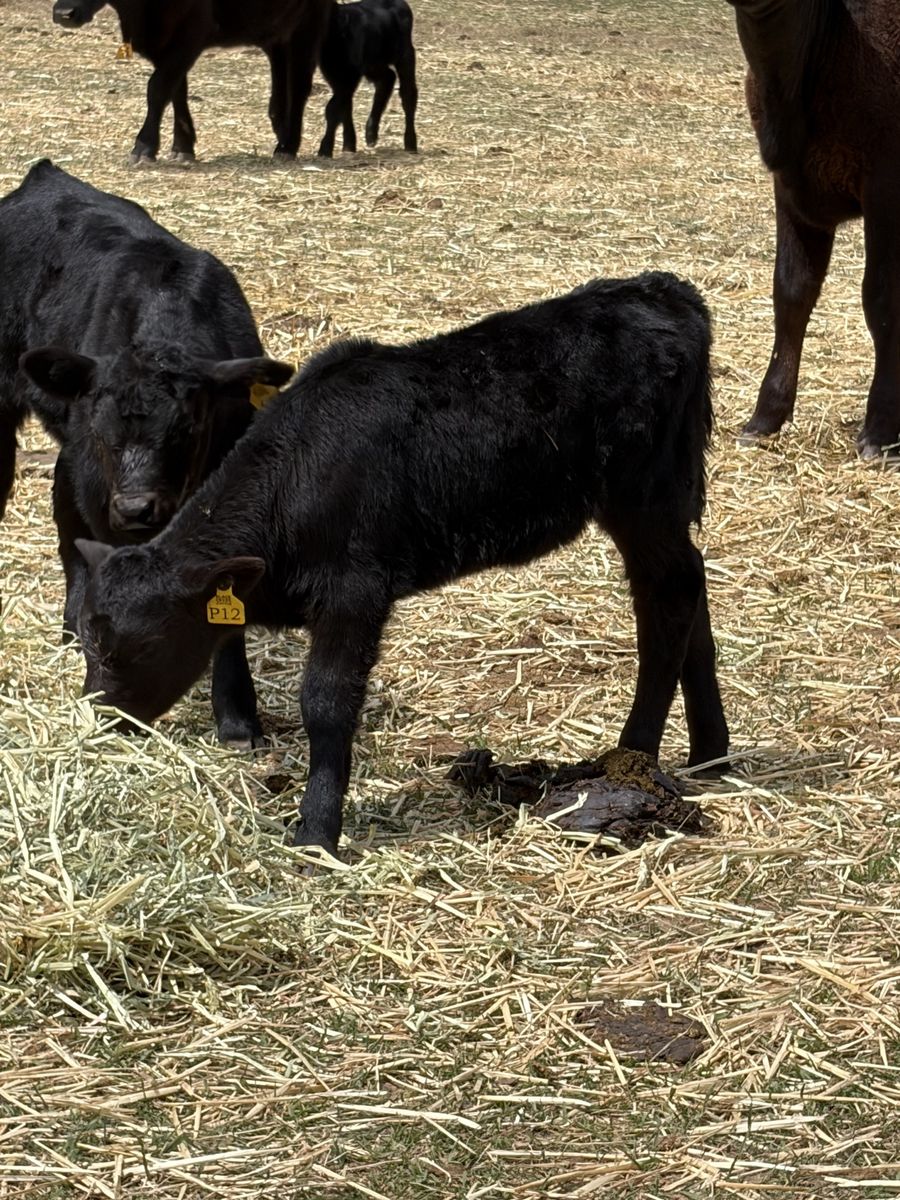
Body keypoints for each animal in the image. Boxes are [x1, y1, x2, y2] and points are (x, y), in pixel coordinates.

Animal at [50, 0, 332, 162]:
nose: (64, 13)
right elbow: (176, 91)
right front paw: (183, 147)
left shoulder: (192, 32)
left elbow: (158, 88)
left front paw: (144, 147)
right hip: (276, 29)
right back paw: (280, 130)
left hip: (309, 23)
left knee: (300, 85)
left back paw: (288, 146)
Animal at [72, 271, 731, 859]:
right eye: (84, 638)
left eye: (128, 647)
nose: (98, 717)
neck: (294, 478)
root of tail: (664, 290)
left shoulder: (355, 589)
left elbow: (327, 702)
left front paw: (316, 835)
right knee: (688, 586)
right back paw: (710, 754)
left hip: (644, 493)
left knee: (669, 595)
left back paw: (633, 755)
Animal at [317, 0, 418, 157]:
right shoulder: (335, 76)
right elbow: (344, 107)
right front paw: (349, 145)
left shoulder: (349, 76)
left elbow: (333, 108)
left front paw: (325, 148)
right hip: (373, 63)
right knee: (387, 78)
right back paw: (371, 133)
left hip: (405, 54)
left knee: (408, 94)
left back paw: (410, 143)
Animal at [729, 0, 900, 458]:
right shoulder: (790, 186)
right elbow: (791, 292)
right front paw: (765, 417)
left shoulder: (885, 183)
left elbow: (880, 299)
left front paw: (880, 429)